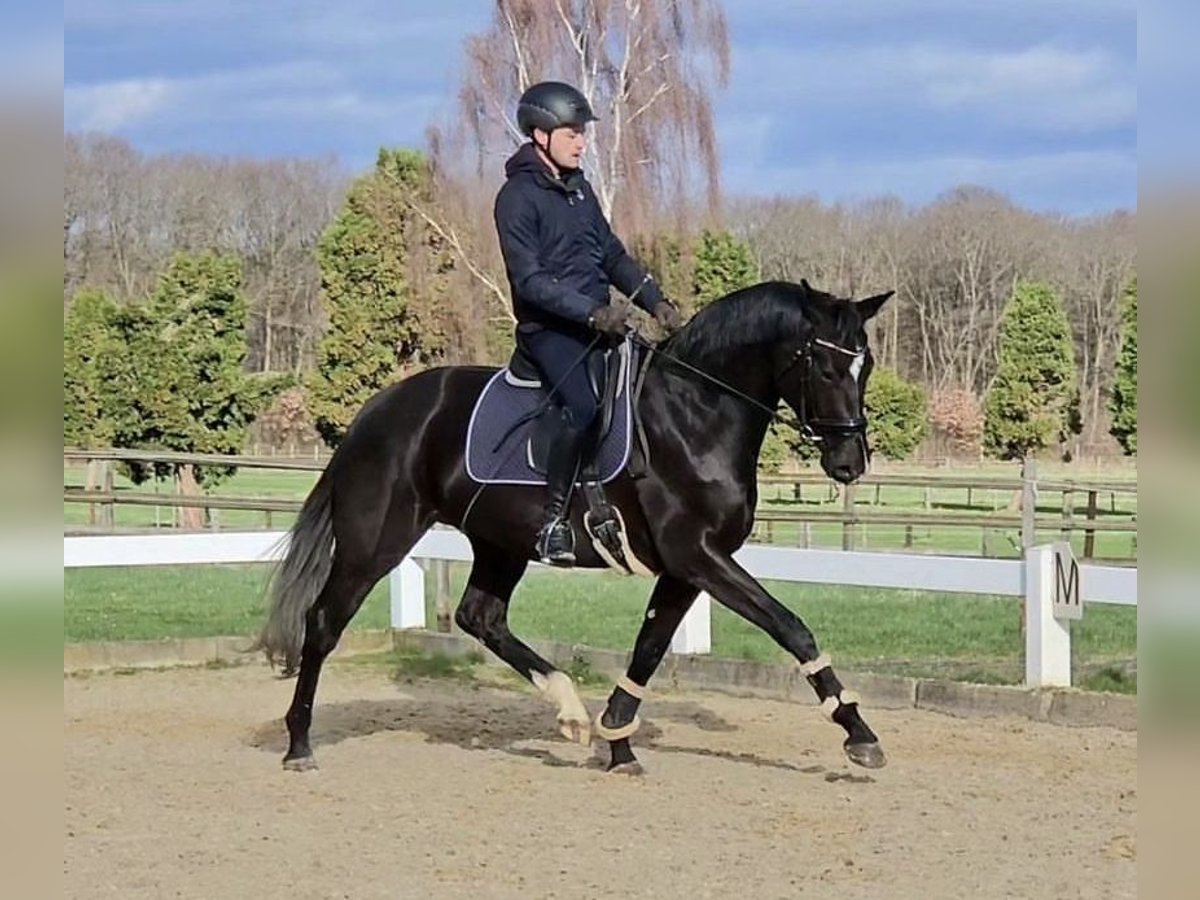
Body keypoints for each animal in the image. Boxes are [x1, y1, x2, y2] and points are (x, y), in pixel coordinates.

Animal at [255, 280, 892, 777]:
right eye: (825, 365)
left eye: (865, 366)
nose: (849, 464)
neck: (695, 413)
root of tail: (375, 412)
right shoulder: (698, 556)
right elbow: (791, 627)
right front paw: (858, 733)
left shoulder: (685, 568)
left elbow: (649, 647)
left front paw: (617, 740)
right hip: (374, 544)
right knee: (323, 623)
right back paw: (299, 744)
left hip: (500, 543)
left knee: (480, 618)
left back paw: (569, 711)